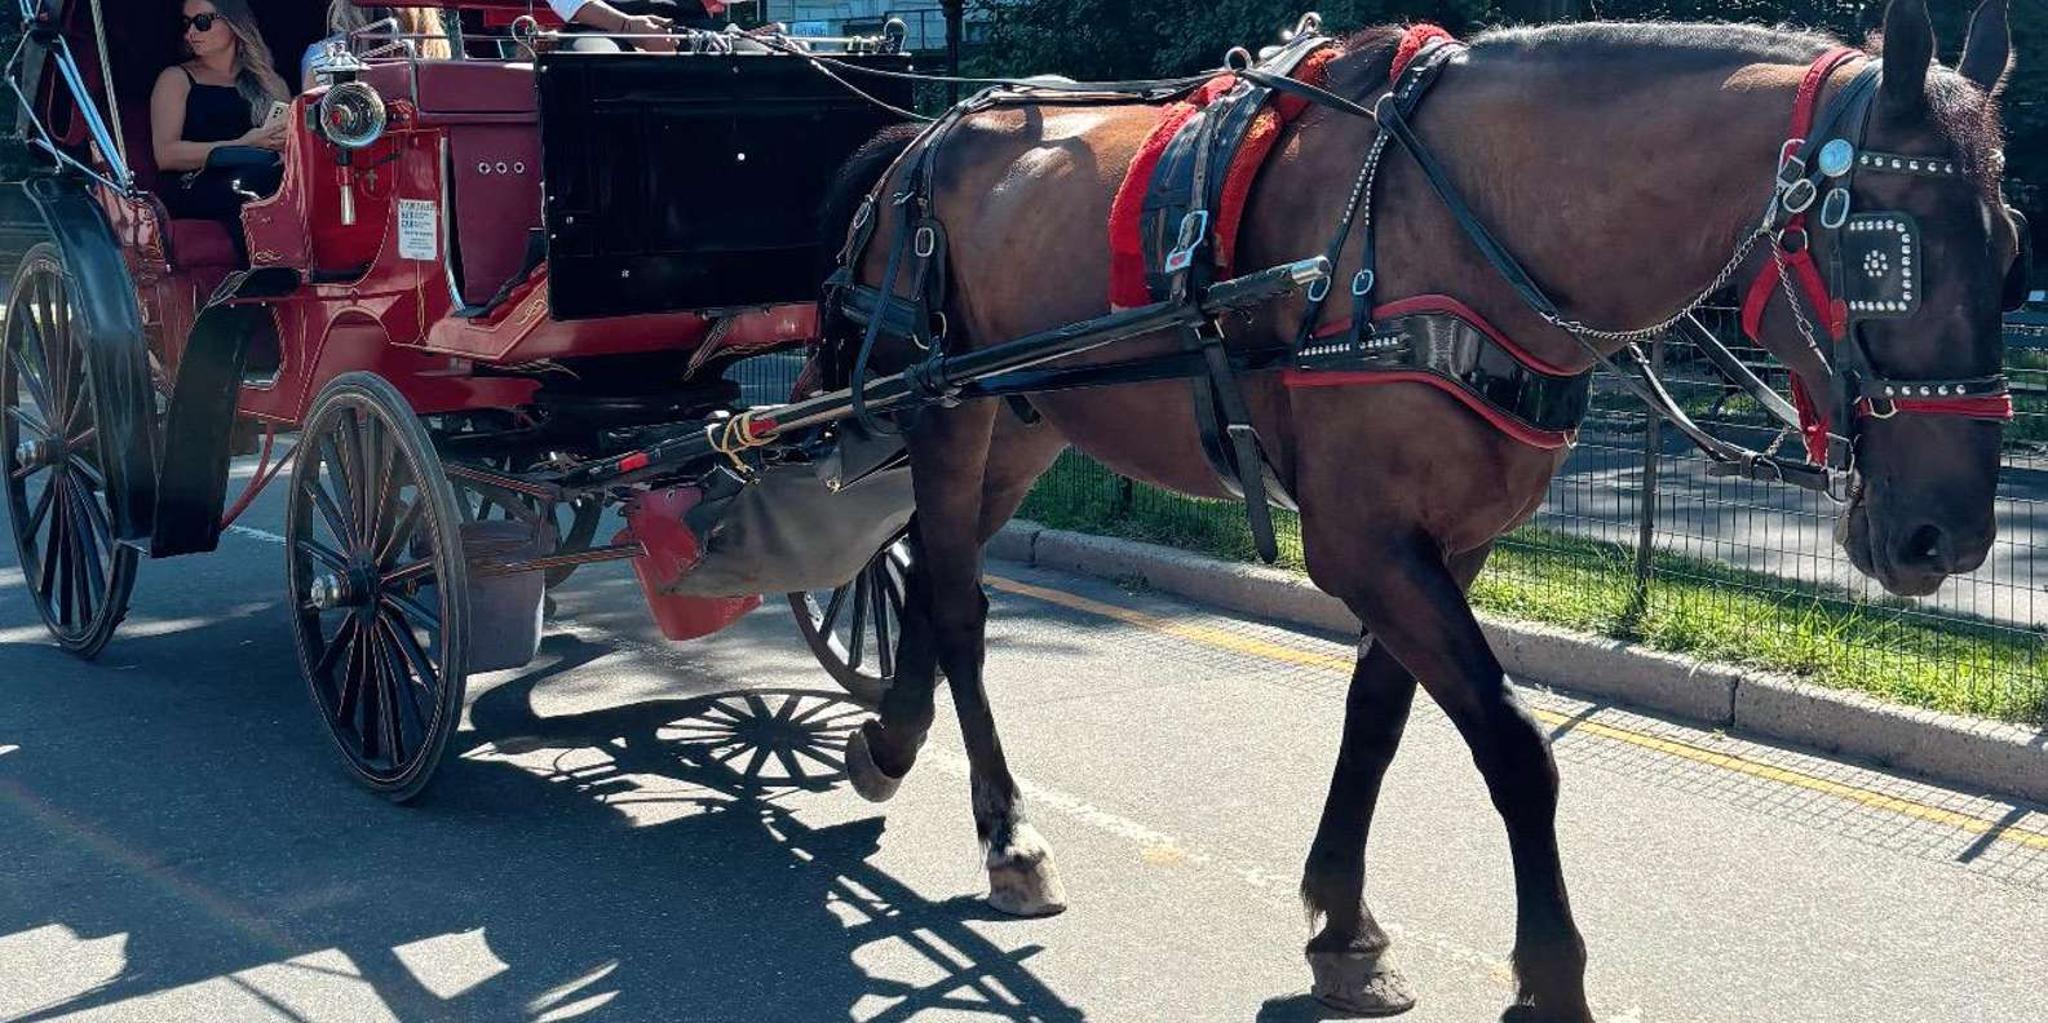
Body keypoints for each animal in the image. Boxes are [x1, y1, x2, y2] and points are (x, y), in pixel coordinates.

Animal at [816, 2, 2020, 1018]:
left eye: (2008, 251)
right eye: (1884, 251)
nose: (1949, 535)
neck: (1457, 222)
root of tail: (920, 142)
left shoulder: (1447, 542)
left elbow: (1379, 719)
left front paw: (1342, 923)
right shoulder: (1364, 543)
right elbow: (1514, 747)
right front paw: (1548, 974)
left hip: (1027, 422)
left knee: (934, 570)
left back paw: (891, 737)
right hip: (944, 408)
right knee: (960, 601)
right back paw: (1006, 834)